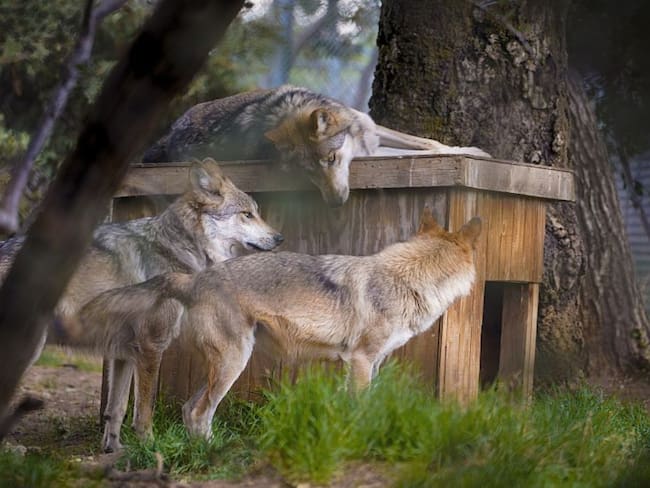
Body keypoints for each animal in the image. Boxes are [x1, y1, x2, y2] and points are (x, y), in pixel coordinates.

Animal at [0, 158, 283, 453]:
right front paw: (150, 448)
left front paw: (114, 450)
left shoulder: (123, 353)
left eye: (256, 212)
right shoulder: (151, 346)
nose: (280, 238)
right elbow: (144, 411)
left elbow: (116, 408)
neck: (178, 248)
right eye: (247, 214)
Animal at [72, 208, 481, 442]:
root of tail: (194, 278)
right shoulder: (361, 361)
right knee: (201, 414)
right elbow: (361, 408)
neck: (407, 279)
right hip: (233, 364)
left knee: (190, 411)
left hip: (229, 364)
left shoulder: (370, 363)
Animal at [142, 85, 490, 207]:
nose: (335, 203)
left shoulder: (372, 131)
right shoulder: (372, 150)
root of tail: (168, 136)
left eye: (333, 158)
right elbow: (413, 151)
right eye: (307, 174)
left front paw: (473, 151)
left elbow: (428, 142)